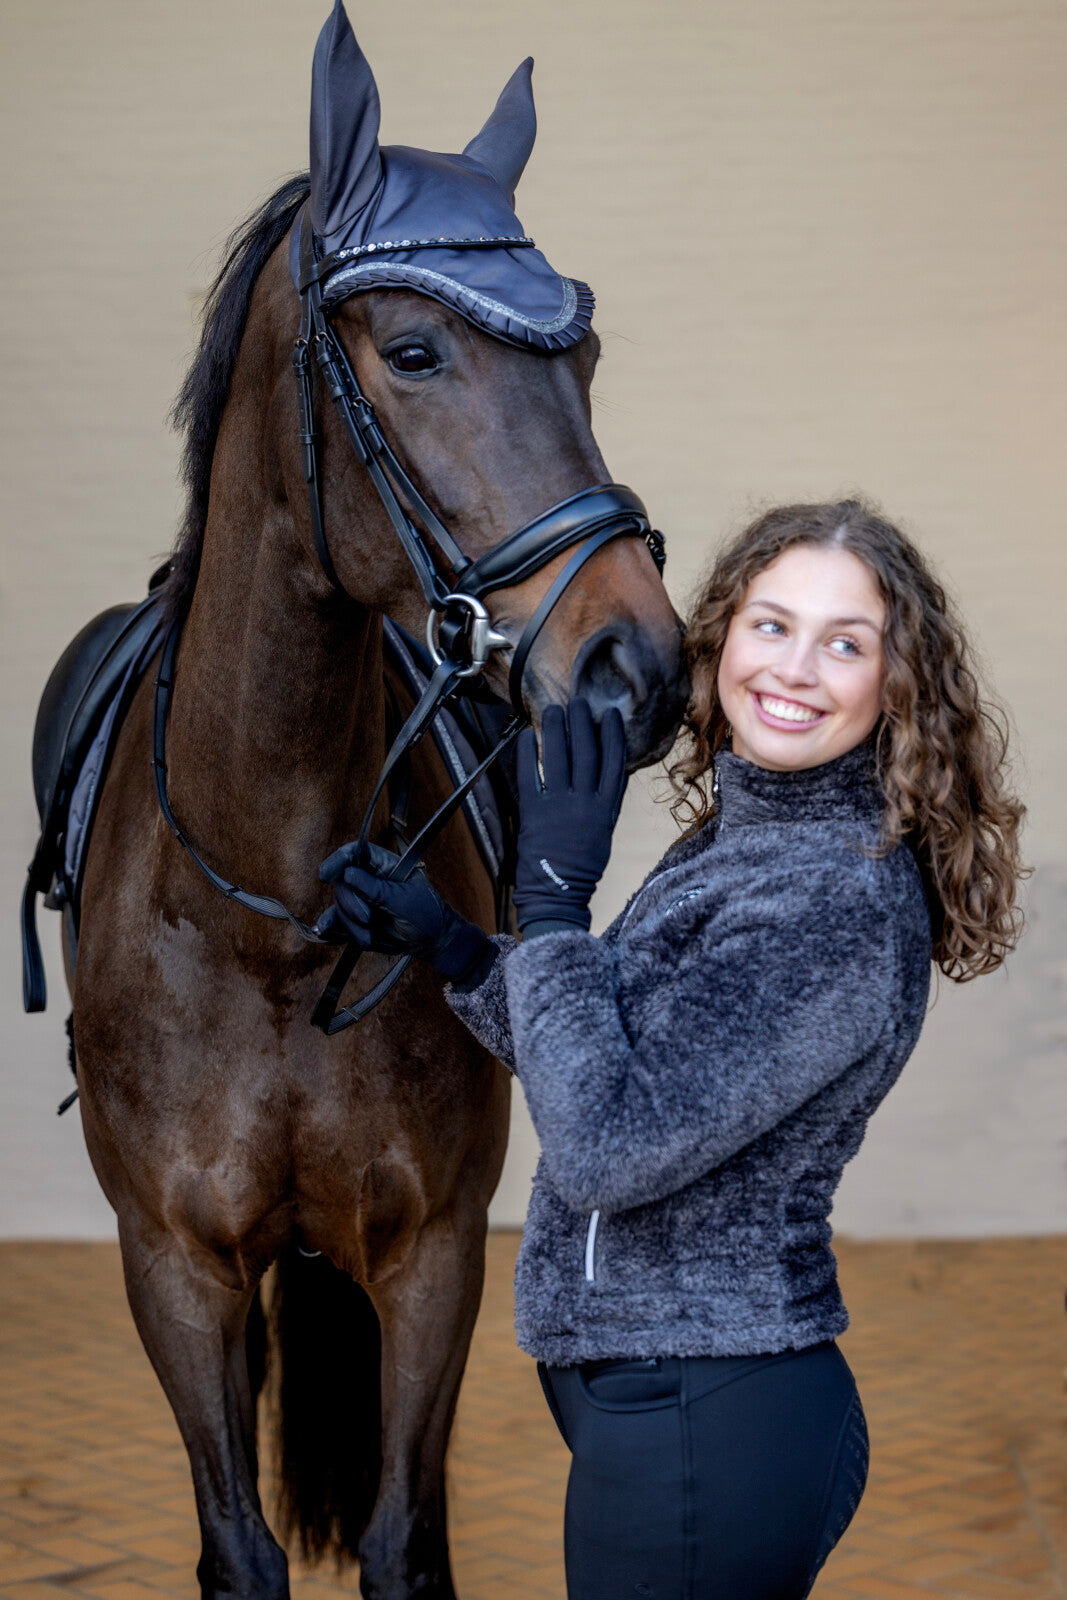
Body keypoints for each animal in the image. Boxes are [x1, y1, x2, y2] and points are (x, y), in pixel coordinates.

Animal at [64, 10, 686, 1599]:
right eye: (411, 350)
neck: (275, 923)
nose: (639, 663)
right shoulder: (170, 1267)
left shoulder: (434, 1254)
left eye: (587, 353)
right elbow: (237, 1548)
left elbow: (408, 1539)